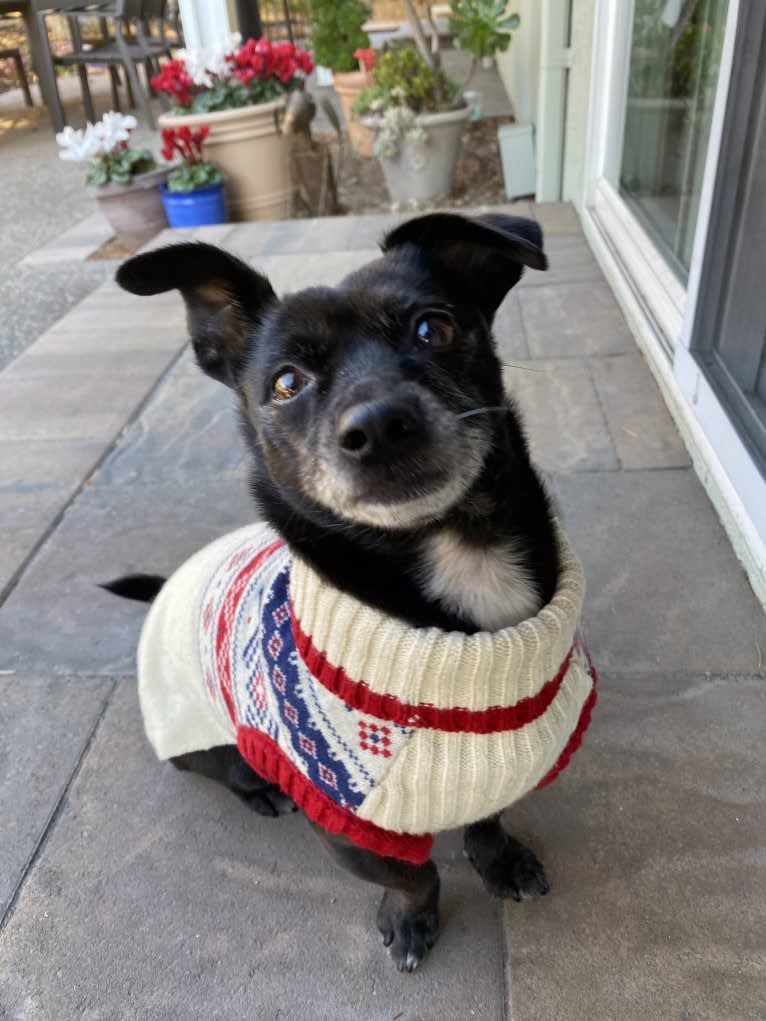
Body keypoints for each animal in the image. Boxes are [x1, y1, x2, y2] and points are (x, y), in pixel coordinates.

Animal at [106, 213, 576, 971]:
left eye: (434, 329)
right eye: (286, 383)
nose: (380, 425)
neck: (458, 549)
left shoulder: (502, 765)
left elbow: (487, 820)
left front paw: (498, 858)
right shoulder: (348, 826)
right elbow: (414, 873)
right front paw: (412, 919)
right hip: (203, 744)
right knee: (228, 771)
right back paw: (260, 791)